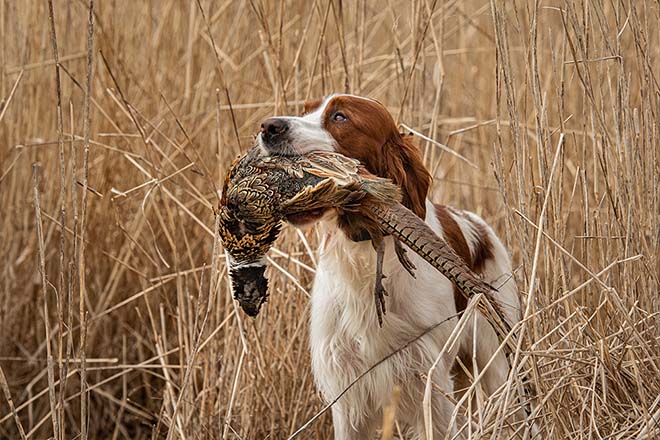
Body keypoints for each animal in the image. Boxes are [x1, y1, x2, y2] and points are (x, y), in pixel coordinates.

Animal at [258, 94, 520, 438]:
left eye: (340, 117)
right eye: (305, 110)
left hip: (497, 364)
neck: (362, 251)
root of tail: (479, 227)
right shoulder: (346, 393)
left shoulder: (430, 383)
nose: (268, 126)